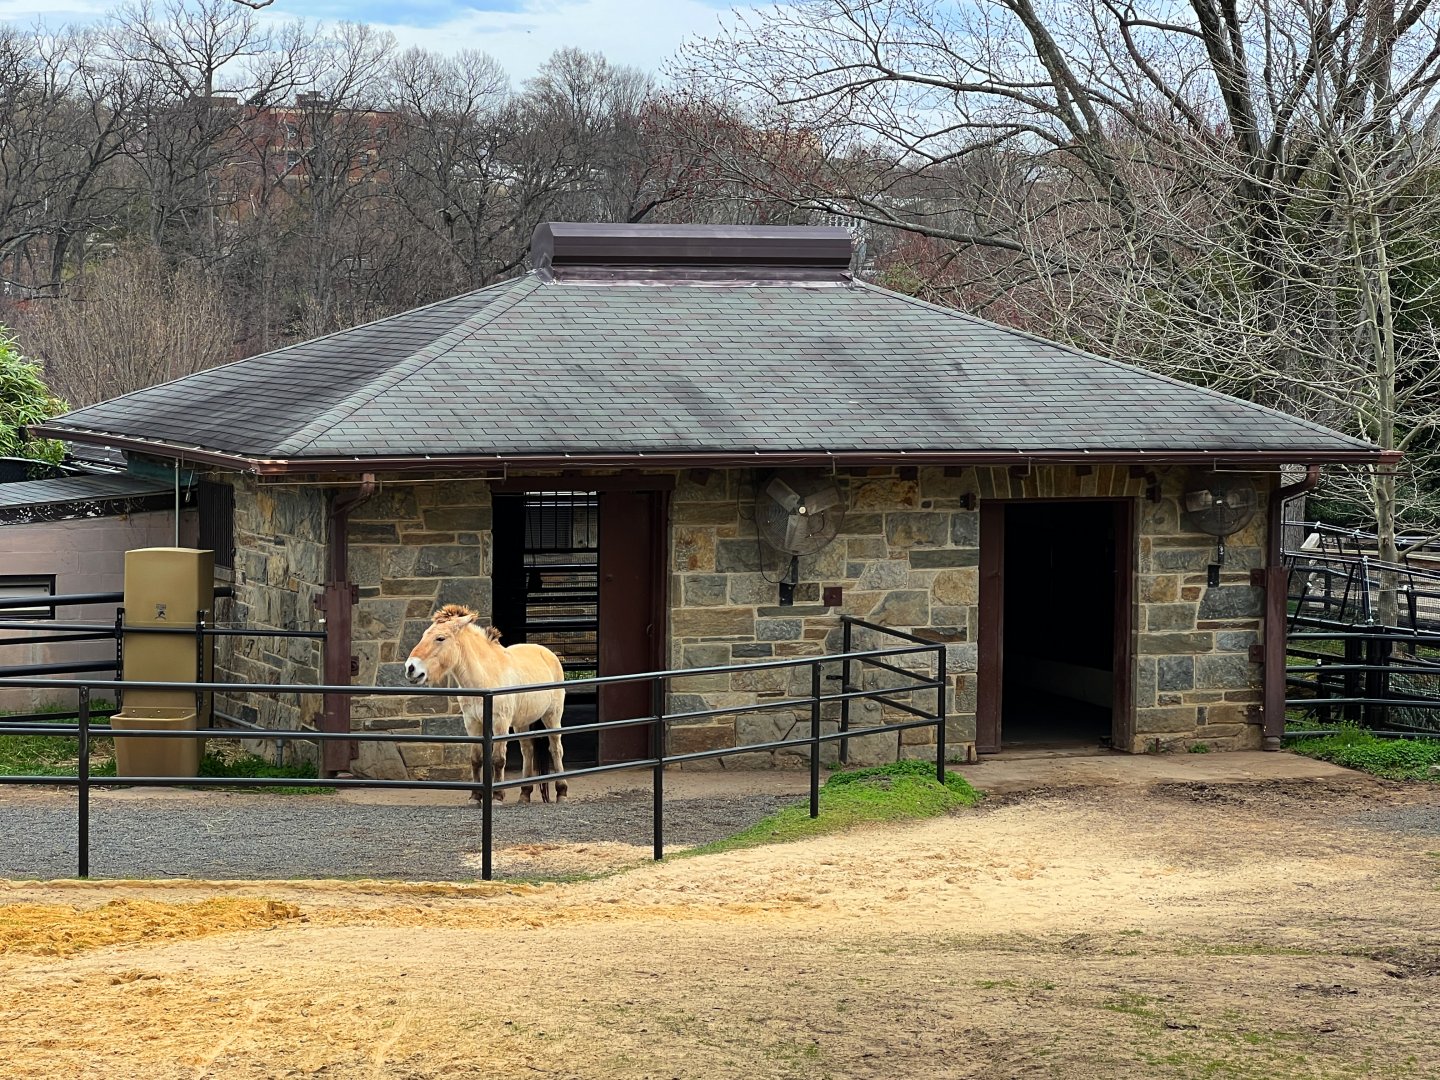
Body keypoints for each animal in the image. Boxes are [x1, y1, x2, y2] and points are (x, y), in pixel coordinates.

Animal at [404, 604, 567, 803]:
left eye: (440, 638)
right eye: (424, 635)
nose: (410, 668)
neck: (485, 677)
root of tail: (547, 653)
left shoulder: (500, 723)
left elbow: (498, 759)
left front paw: (497, 796)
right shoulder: (472, 723)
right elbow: (476, 759)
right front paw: (475, 797)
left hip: (552, 716)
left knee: (556, 749)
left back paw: (561, 791)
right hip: (521, 722)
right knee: (527, 750)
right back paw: (525, 793)